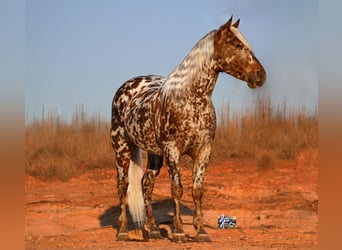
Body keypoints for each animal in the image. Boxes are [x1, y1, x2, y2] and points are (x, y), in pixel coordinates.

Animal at [111, 15, 266, 242]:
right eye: (237, 45)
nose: (260, 76)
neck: (192, 100)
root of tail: (127, 87)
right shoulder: (173, 151)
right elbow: (177, 189)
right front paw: (179, 232)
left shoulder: (203, 151)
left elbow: (197, 190)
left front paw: (201, 232)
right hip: (122, 148)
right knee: (123, 185)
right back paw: (122, 231)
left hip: (155, 154)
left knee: (146, 184)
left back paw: (154, 230)